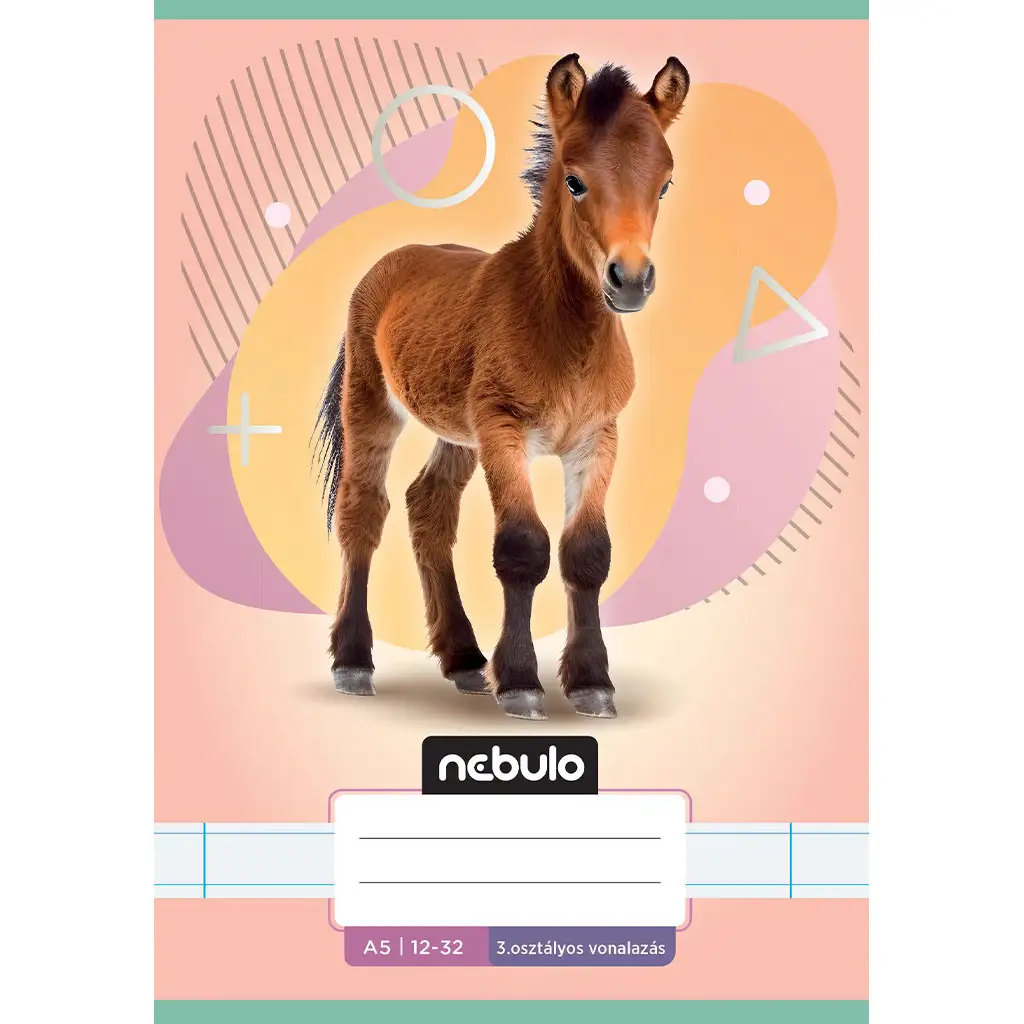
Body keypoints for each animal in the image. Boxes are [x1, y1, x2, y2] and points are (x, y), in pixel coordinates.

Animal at [314, 54, 689, 721]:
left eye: (664, 184)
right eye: (575, 181)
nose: (630, 279)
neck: (563, 332)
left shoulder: (598, 437)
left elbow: (586, 551)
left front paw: (591, 683)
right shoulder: (502, 429)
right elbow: (522, 546)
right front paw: (518, 682)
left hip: (457, 433)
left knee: (429, 507)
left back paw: (463, 659)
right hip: (373, 401)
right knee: (362, 509)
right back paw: (353, 662)